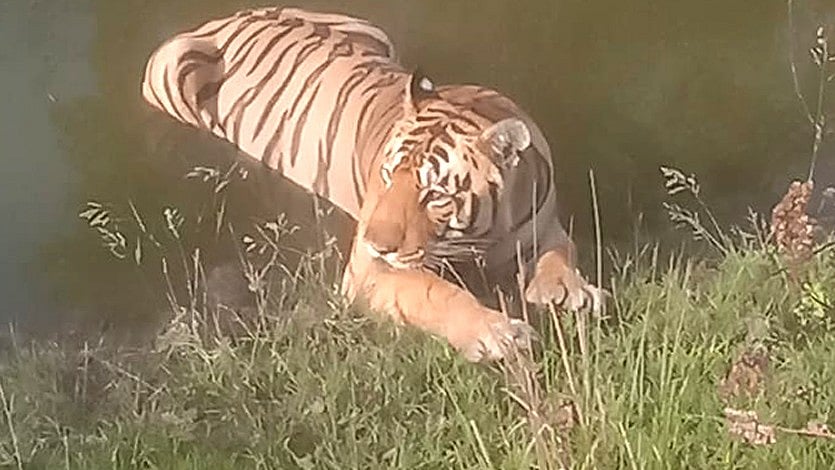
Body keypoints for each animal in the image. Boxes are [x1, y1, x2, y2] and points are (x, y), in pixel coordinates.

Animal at [141, 7, 603, 361]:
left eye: (435, 194)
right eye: (386, 175)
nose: (376, 243)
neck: (483, 233)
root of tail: (226, 18)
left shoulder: (541, 228)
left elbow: (560, 256)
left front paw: (570, 291)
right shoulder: (371, 271)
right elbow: (436, 292)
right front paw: (498, 333)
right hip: (171, 65)